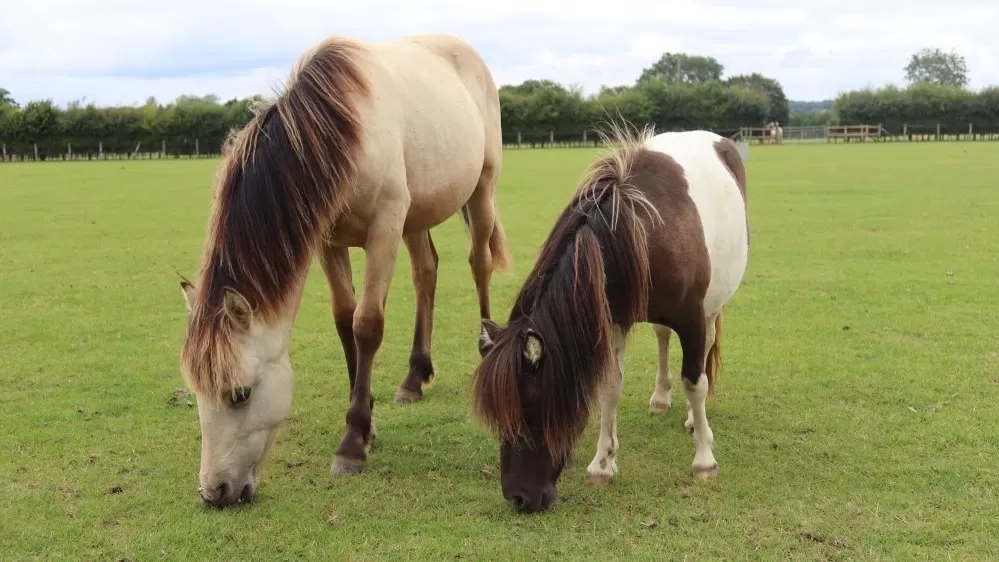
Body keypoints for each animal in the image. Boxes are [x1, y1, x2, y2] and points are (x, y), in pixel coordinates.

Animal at [175, 35, 512, 508]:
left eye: (240, 393)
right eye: (196, 391)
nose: (214, 491)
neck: (344, 127)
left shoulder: (384, 228)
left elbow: (366, 324)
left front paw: (352, 443)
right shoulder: (328, 240)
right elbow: (343, 321)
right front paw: (368, 421)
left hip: (481, 189)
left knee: (478, 262)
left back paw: (486, 343)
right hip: (417, 214)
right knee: (426, 273)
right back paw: (415, 377)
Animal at [472, 124, 748, 510]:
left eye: (530, 409)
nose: (518, 498)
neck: (644, 231)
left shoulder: (692, 320)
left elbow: (695, 383)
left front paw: (704, 460)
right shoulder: (614, 319)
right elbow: (609, 388)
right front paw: (602, 464)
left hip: (712, 307)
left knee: (704, 355)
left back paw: (696, 420)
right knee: (662, 335)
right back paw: (661, 398)